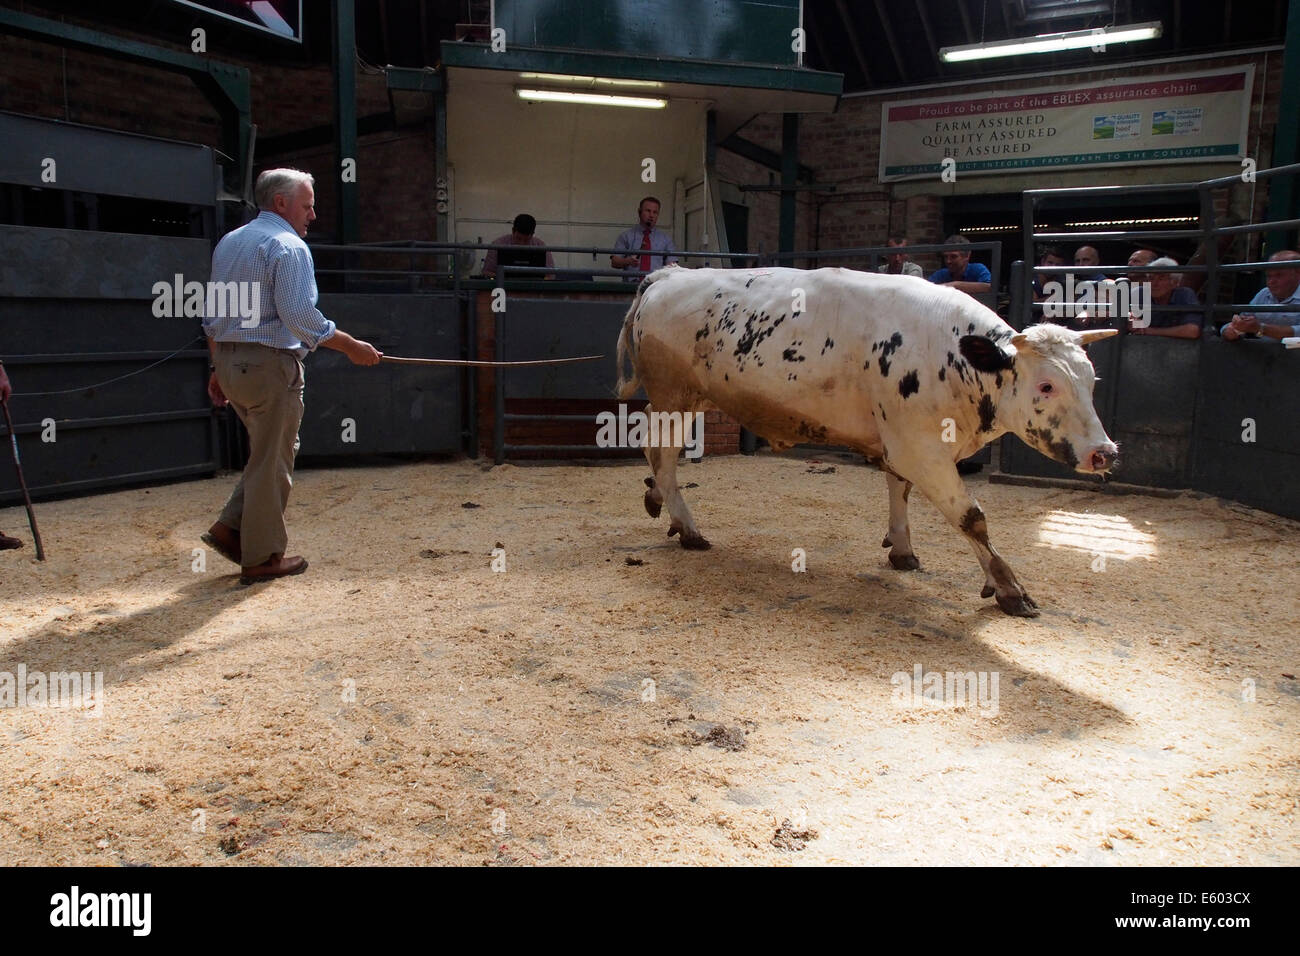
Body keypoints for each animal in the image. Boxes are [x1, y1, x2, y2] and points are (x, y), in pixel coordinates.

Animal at [614, 266, 1119, 617]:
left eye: (1092, 380)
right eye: (1047, 386)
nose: (1104, 453)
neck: (949, 355)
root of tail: (670, 274)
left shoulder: (905, 443)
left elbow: (899, 488)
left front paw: (902, 549)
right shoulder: (920, 448)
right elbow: (972, 518)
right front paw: (1010, 588)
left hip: (689, 398)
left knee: (659, 452)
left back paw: (661, 503)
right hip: (673, 394)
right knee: (661, 452)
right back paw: (688, 528)